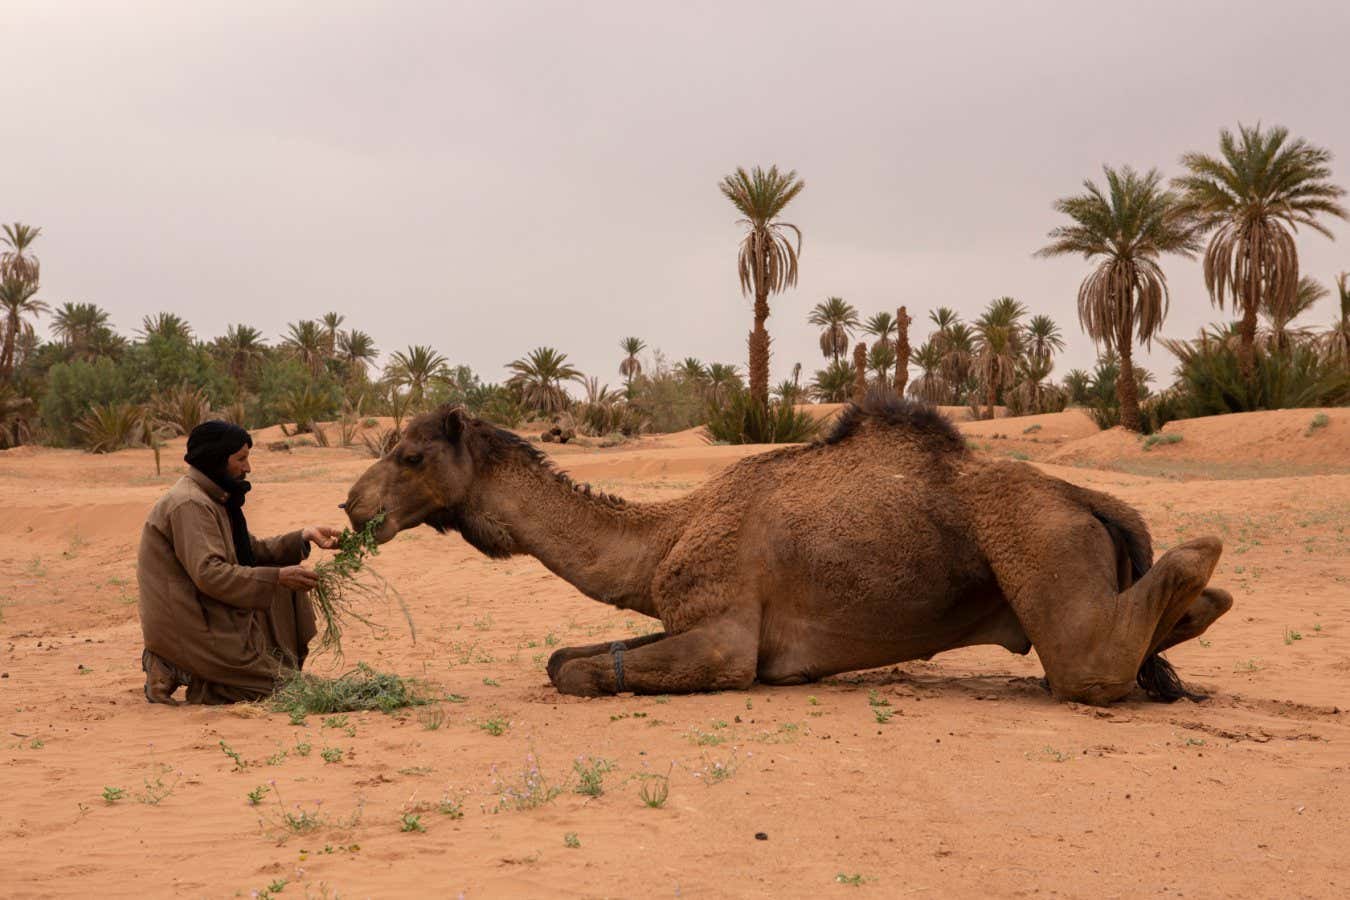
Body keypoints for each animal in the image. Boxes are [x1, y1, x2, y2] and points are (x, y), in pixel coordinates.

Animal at [343, 394, 1232, 705]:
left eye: (410, 455)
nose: (353, 508)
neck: (664, 533)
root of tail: (1090, 500)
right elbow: (568, 655)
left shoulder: (725, 637)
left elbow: (580, 671)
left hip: (1041, 545)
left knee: (1094, 663)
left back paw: (1204, 555)